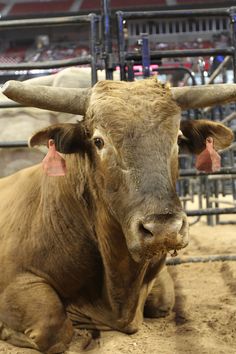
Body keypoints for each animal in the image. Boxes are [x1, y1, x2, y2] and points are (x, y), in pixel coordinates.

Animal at [0, 78, 233, 354]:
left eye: (177, 139)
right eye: (99, 141)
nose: (163, 229)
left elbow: (163, 300)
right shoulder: (16, 281)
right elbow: (53, 328)